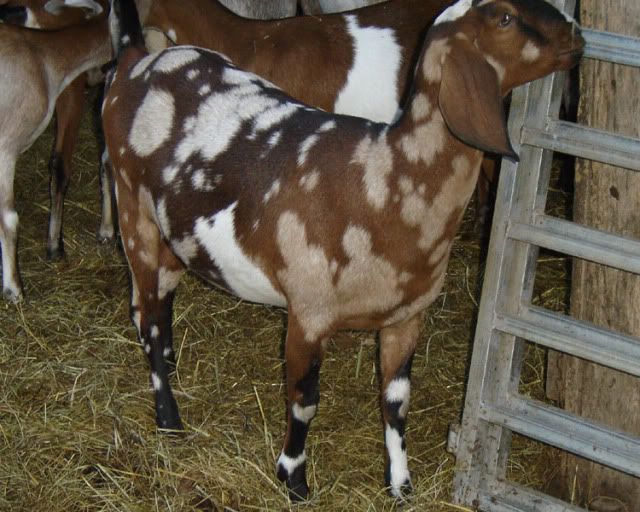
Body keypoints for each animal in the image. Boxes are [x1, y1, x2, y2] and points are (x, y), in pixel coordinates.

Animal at [103, 0, 584, 500]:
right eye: (504, 19)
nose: (577, 34)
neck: (388, 178)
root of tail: (136, 59)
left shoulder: (406, 317)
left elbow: (396, 401)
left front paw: (400, 484)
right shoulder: (308, 313)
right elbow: (303, 402)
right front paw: (293, 478)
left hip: (176, 234)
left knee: (156, 299)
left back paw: (171, 369)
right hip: (132, 209)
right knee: (148, 315)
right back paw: (169, 417)